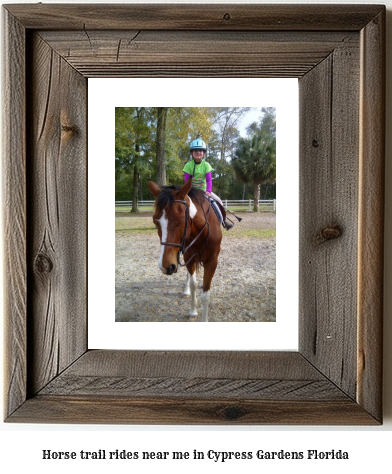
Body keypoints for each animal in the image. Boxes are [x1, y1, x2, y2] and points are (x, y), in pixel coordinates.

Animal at [148, 179, 222, 322]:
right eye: (155, 221)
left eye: (181, 220)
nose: (166, 266)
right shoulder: (189, 257)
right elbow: (193, 285)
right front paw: (193, 311)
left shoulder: (212, 261)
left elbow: (205, 294)